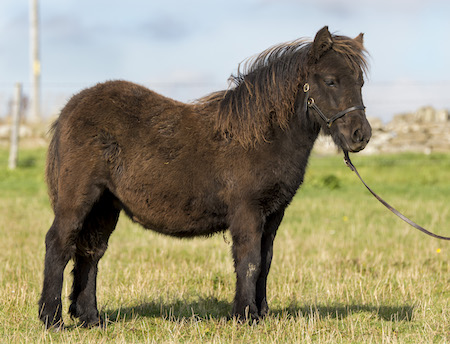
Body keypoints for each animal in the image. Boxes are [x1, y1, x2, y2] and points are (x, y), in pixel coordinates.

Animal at [38, 26, 370, 328]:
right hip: (79, 200)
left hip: (105, 205)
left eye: (361, 82)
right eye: (330, 80)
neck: (260, 137)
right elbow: (249, 261)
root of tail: (70, 109)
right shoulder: (247, 212)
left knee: (91, 252)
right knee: (59, 243)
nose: (361, 136)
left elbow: (265, 262)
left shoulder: (273, 215)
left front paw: (261, 314)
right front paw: (244, 316)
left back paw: (90, 318)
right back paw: (51, 319)